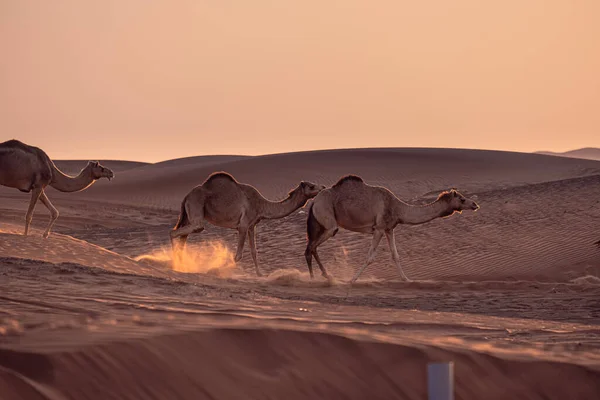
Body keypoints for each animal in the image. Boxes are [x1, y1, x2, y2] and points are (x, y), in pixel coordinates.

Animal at [171, 172, 326, 276]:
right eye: (311, 186)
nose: (323, 187)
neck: (261, 205)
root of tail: (186, 196)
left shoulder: (252, 225)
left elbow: (254, 251)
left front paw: (260, 274)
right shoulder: (243, 225)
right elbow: (238, 255)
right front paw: (219, 270)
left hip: (188, 215)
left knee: (183, 239)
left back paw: (181, 265)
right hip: (196, 208)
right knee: (176, 232)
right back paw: (173, 263)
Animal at [304, 174, 478, 282]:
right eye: (462, 199)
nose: (475, 204)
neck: (398, 208)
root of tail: (313, 202)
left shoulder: (389, 229)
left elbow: (396, 255)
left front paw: (407, 279)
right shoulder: (379, 228)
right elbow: (370, 257)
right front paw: (352, 279)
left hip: (319, 223)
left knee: (311, 247)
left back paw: (322, 276)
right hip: (327, 219)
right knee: (312, 246)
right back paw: (320, 277)